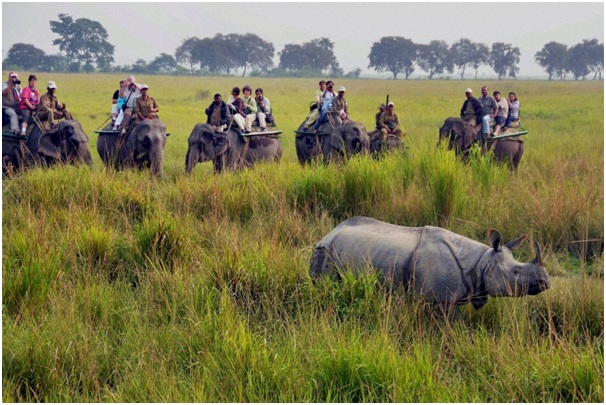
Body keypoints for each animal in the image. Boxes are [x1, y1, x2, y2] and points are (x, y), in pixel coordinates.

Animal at [312, 218, 552, 310]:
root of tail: (329, 232)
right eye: (515, 272)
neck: (483, 261)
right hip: (325, 251)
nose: (546, 282)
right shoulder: (441, 298)